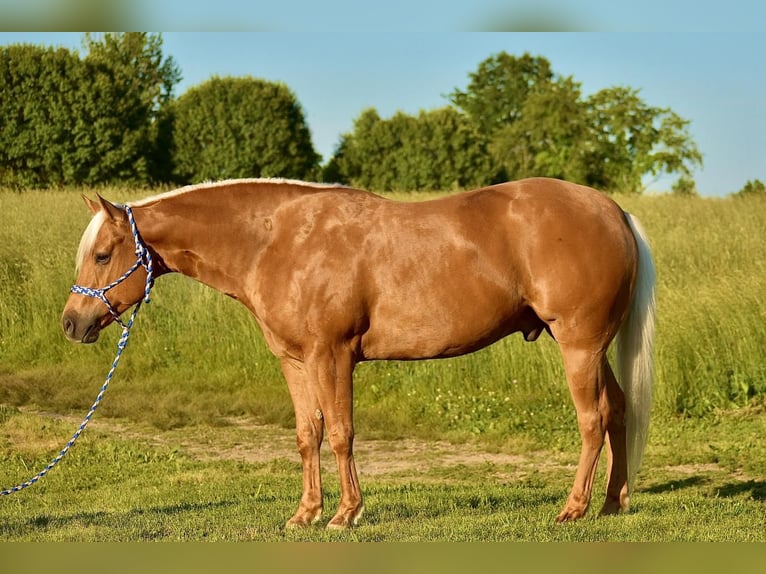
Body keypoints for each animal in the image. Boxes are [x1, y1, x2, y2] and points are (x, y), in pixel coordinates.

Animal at [63, 177, 656, 532]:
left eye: (102, 254)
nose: (73, 323)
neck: (278, 241)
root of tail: (614, 210)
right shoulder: (295, 361)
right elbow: (308, 435)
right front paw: (305, 514)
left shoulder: (333, 356)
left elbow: (342, 434)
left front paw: (345, 515)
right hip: (590, 348)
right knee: (618, 410)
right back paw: (613, 502)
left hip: (578, 346)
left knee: (592, 419)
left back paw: (573, 508)